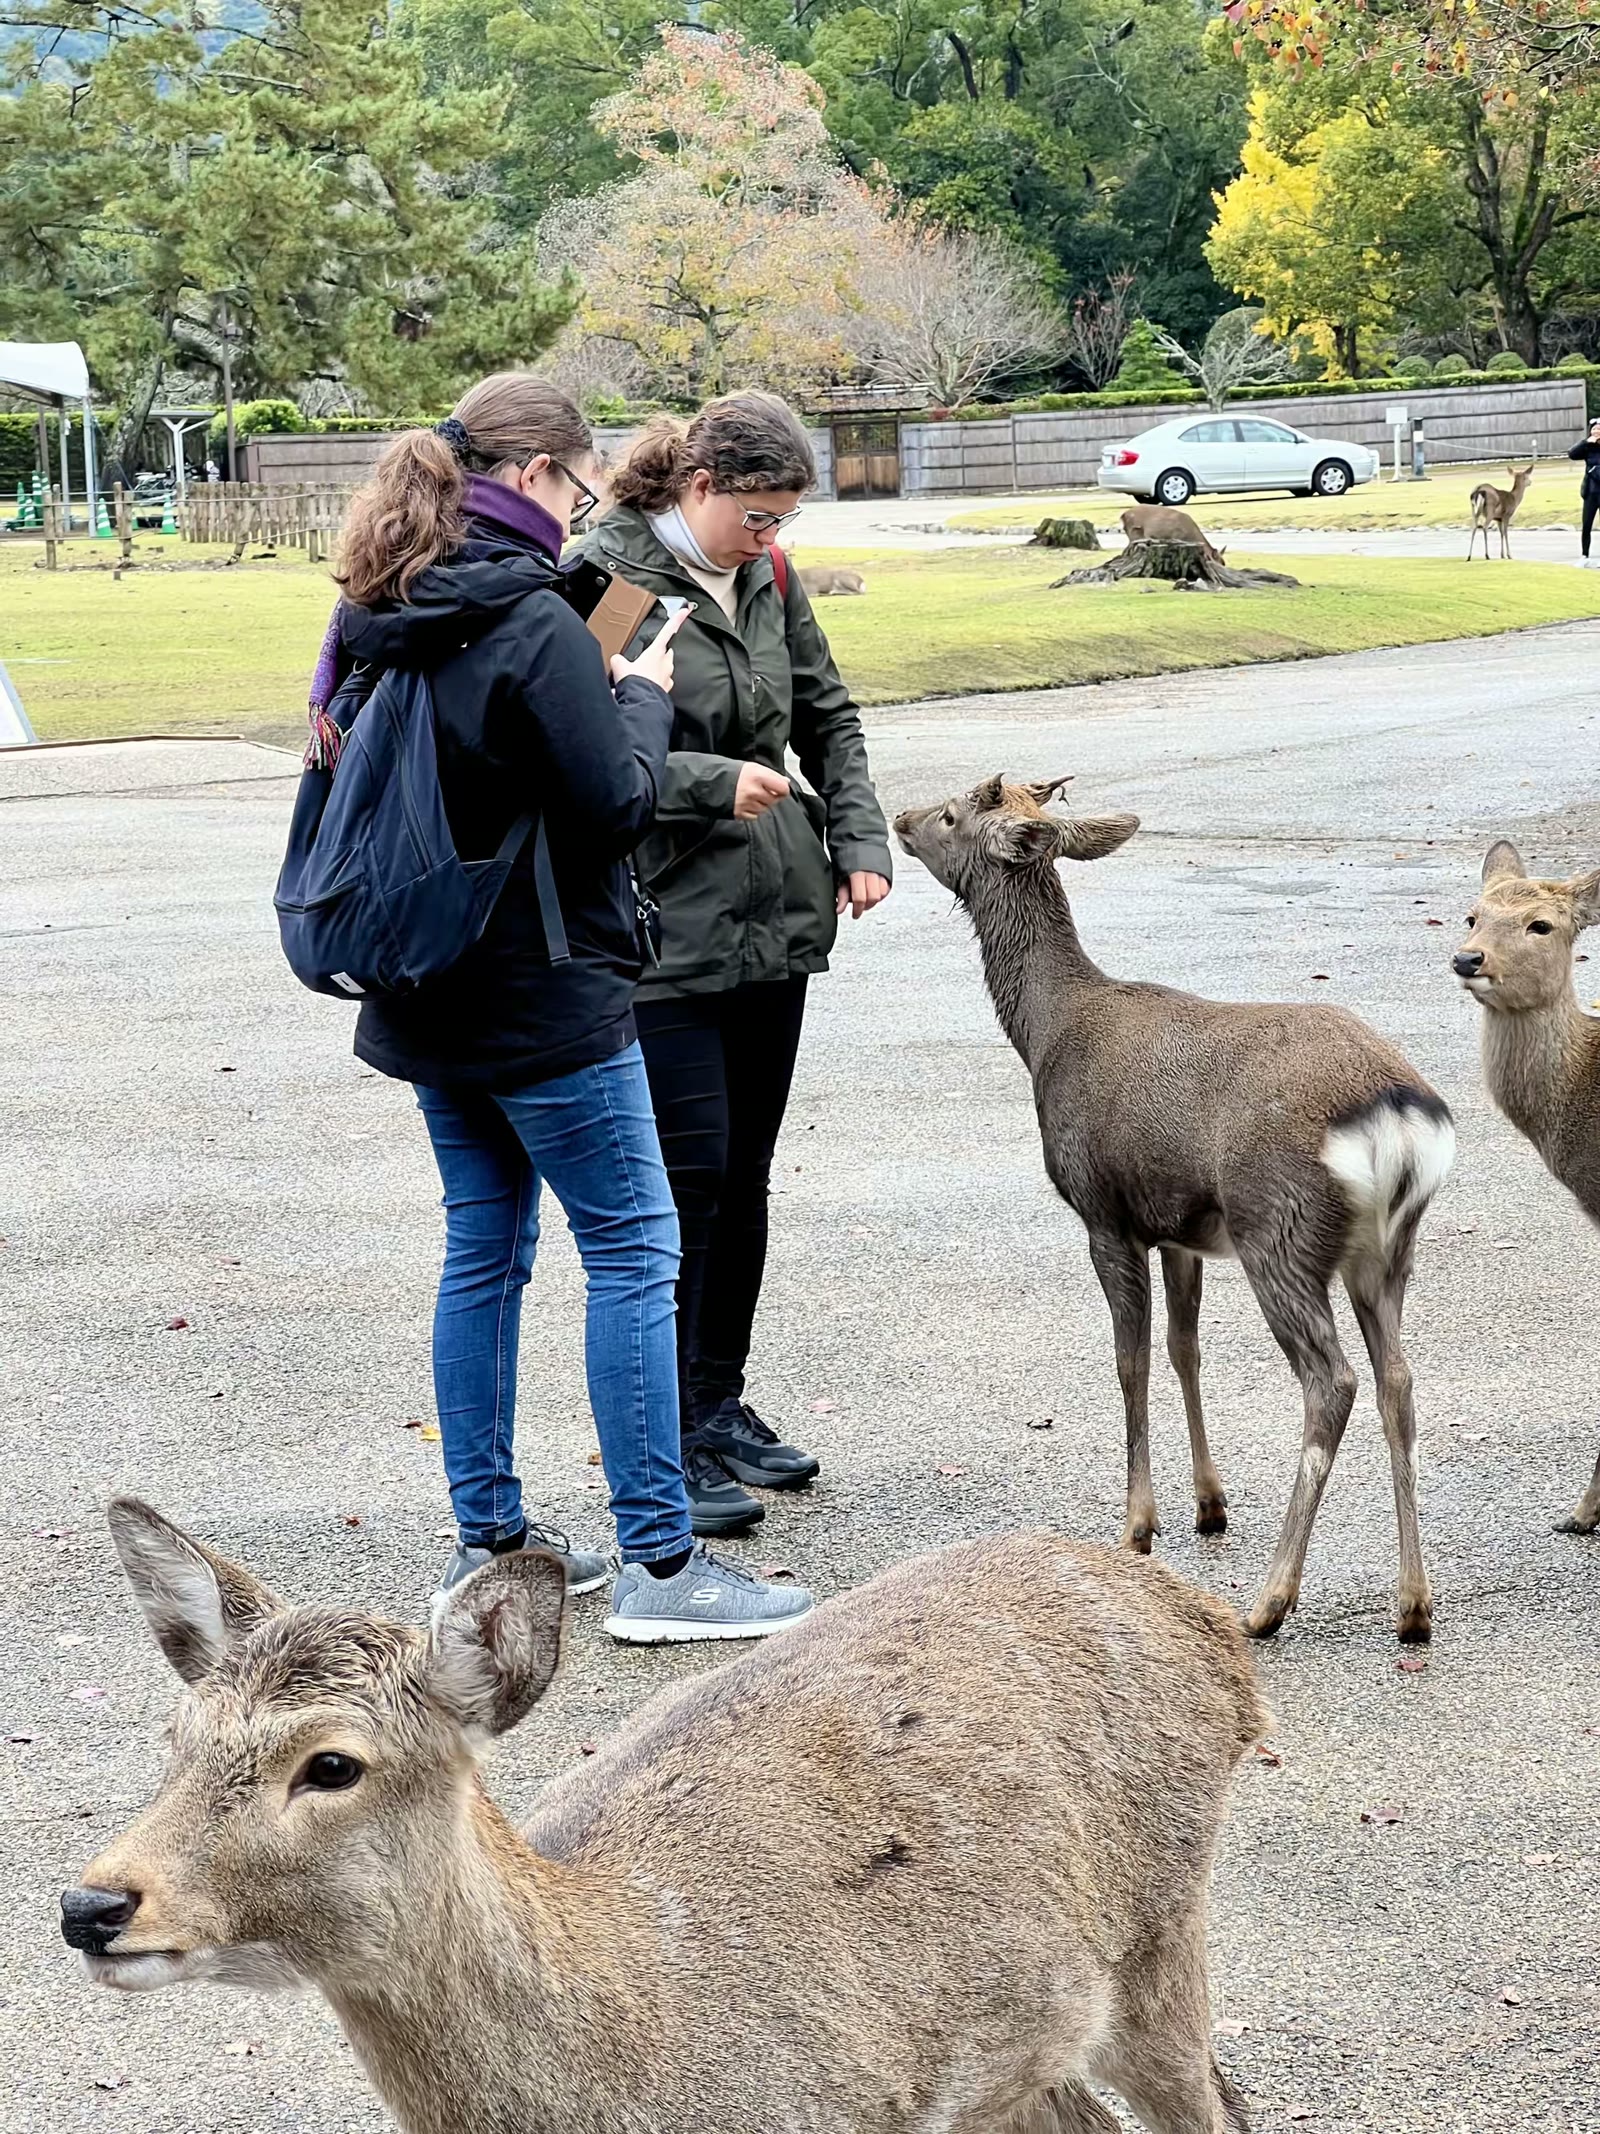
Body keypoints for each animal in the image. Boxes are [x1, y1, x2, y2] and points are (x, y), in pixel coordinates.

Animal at [894, 776, 1456, 1644]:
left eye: (953, 812)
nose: (898, 817)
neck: (1045, 1035)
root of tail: (1397, 1113)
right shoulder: (1180, 1230)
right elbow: (1184, 1348)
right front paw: (1208, 1503)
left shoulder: (1103, 1210)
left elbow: (1130, 1358)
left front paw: (1137, 1525)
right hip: (1385, 1250)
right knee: (1398, 1380)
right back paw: (1413, 1604)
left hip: (1278, 1229)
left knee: (1332, 1383)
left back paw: (1270, 1602)